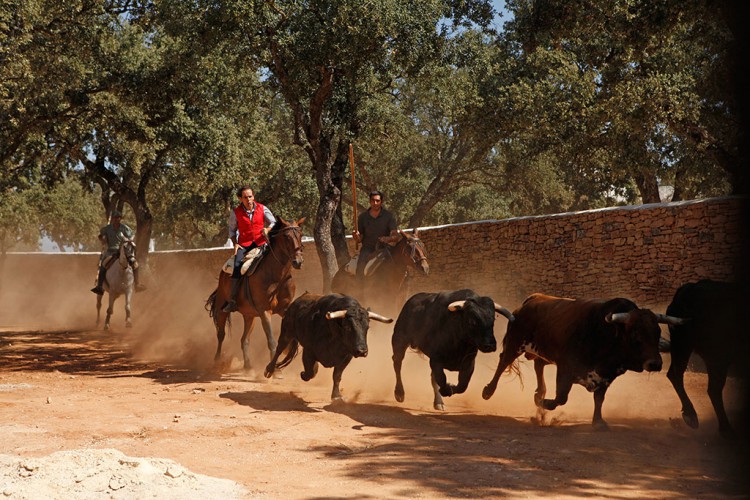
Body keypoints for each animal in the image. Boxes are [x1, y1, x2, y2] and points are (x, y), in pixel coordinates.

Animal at [206, 218, 306, 372]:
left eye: (300, 235)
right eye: (286, 236)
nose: (298, 261)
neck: (277, 277)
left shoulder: (284, 309)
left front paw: (286, 350)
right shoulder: (265, 312)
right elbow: (271, 341)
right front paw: (274, 370)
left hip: (249, 316)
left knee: (244, 340)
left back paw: (248, 366)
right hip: (221, 308)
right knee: (221, 334)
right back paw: (217, 362)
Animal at [264, 292, 394, 402]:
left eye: (367, 327)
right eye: (347, 327)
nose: (362, 351)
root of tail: (296, 302)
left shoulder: (347, 356)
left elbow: (337, 376)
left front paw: (336, 396)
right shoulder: (309, 351)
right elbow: (310, 372)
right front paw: (306, 373)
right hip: (287, 332)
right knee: (279, 349)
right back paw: (269, 370)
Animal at [482, 292, 688, 430]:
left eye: (657, 332)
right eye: (636, 335)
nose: (656, 364)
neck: (606, 333)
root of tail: (532, 299)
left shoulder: (606, 376)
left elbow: (599, 398)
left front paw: (598, 421)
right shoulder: (566, 368)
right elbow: (561, 397)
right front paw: (545, 403)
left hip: (544, 353)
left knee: (538, 365)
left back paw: (539, 393)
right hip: (515, 343)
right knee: (503, 362)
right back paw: (488, 391)